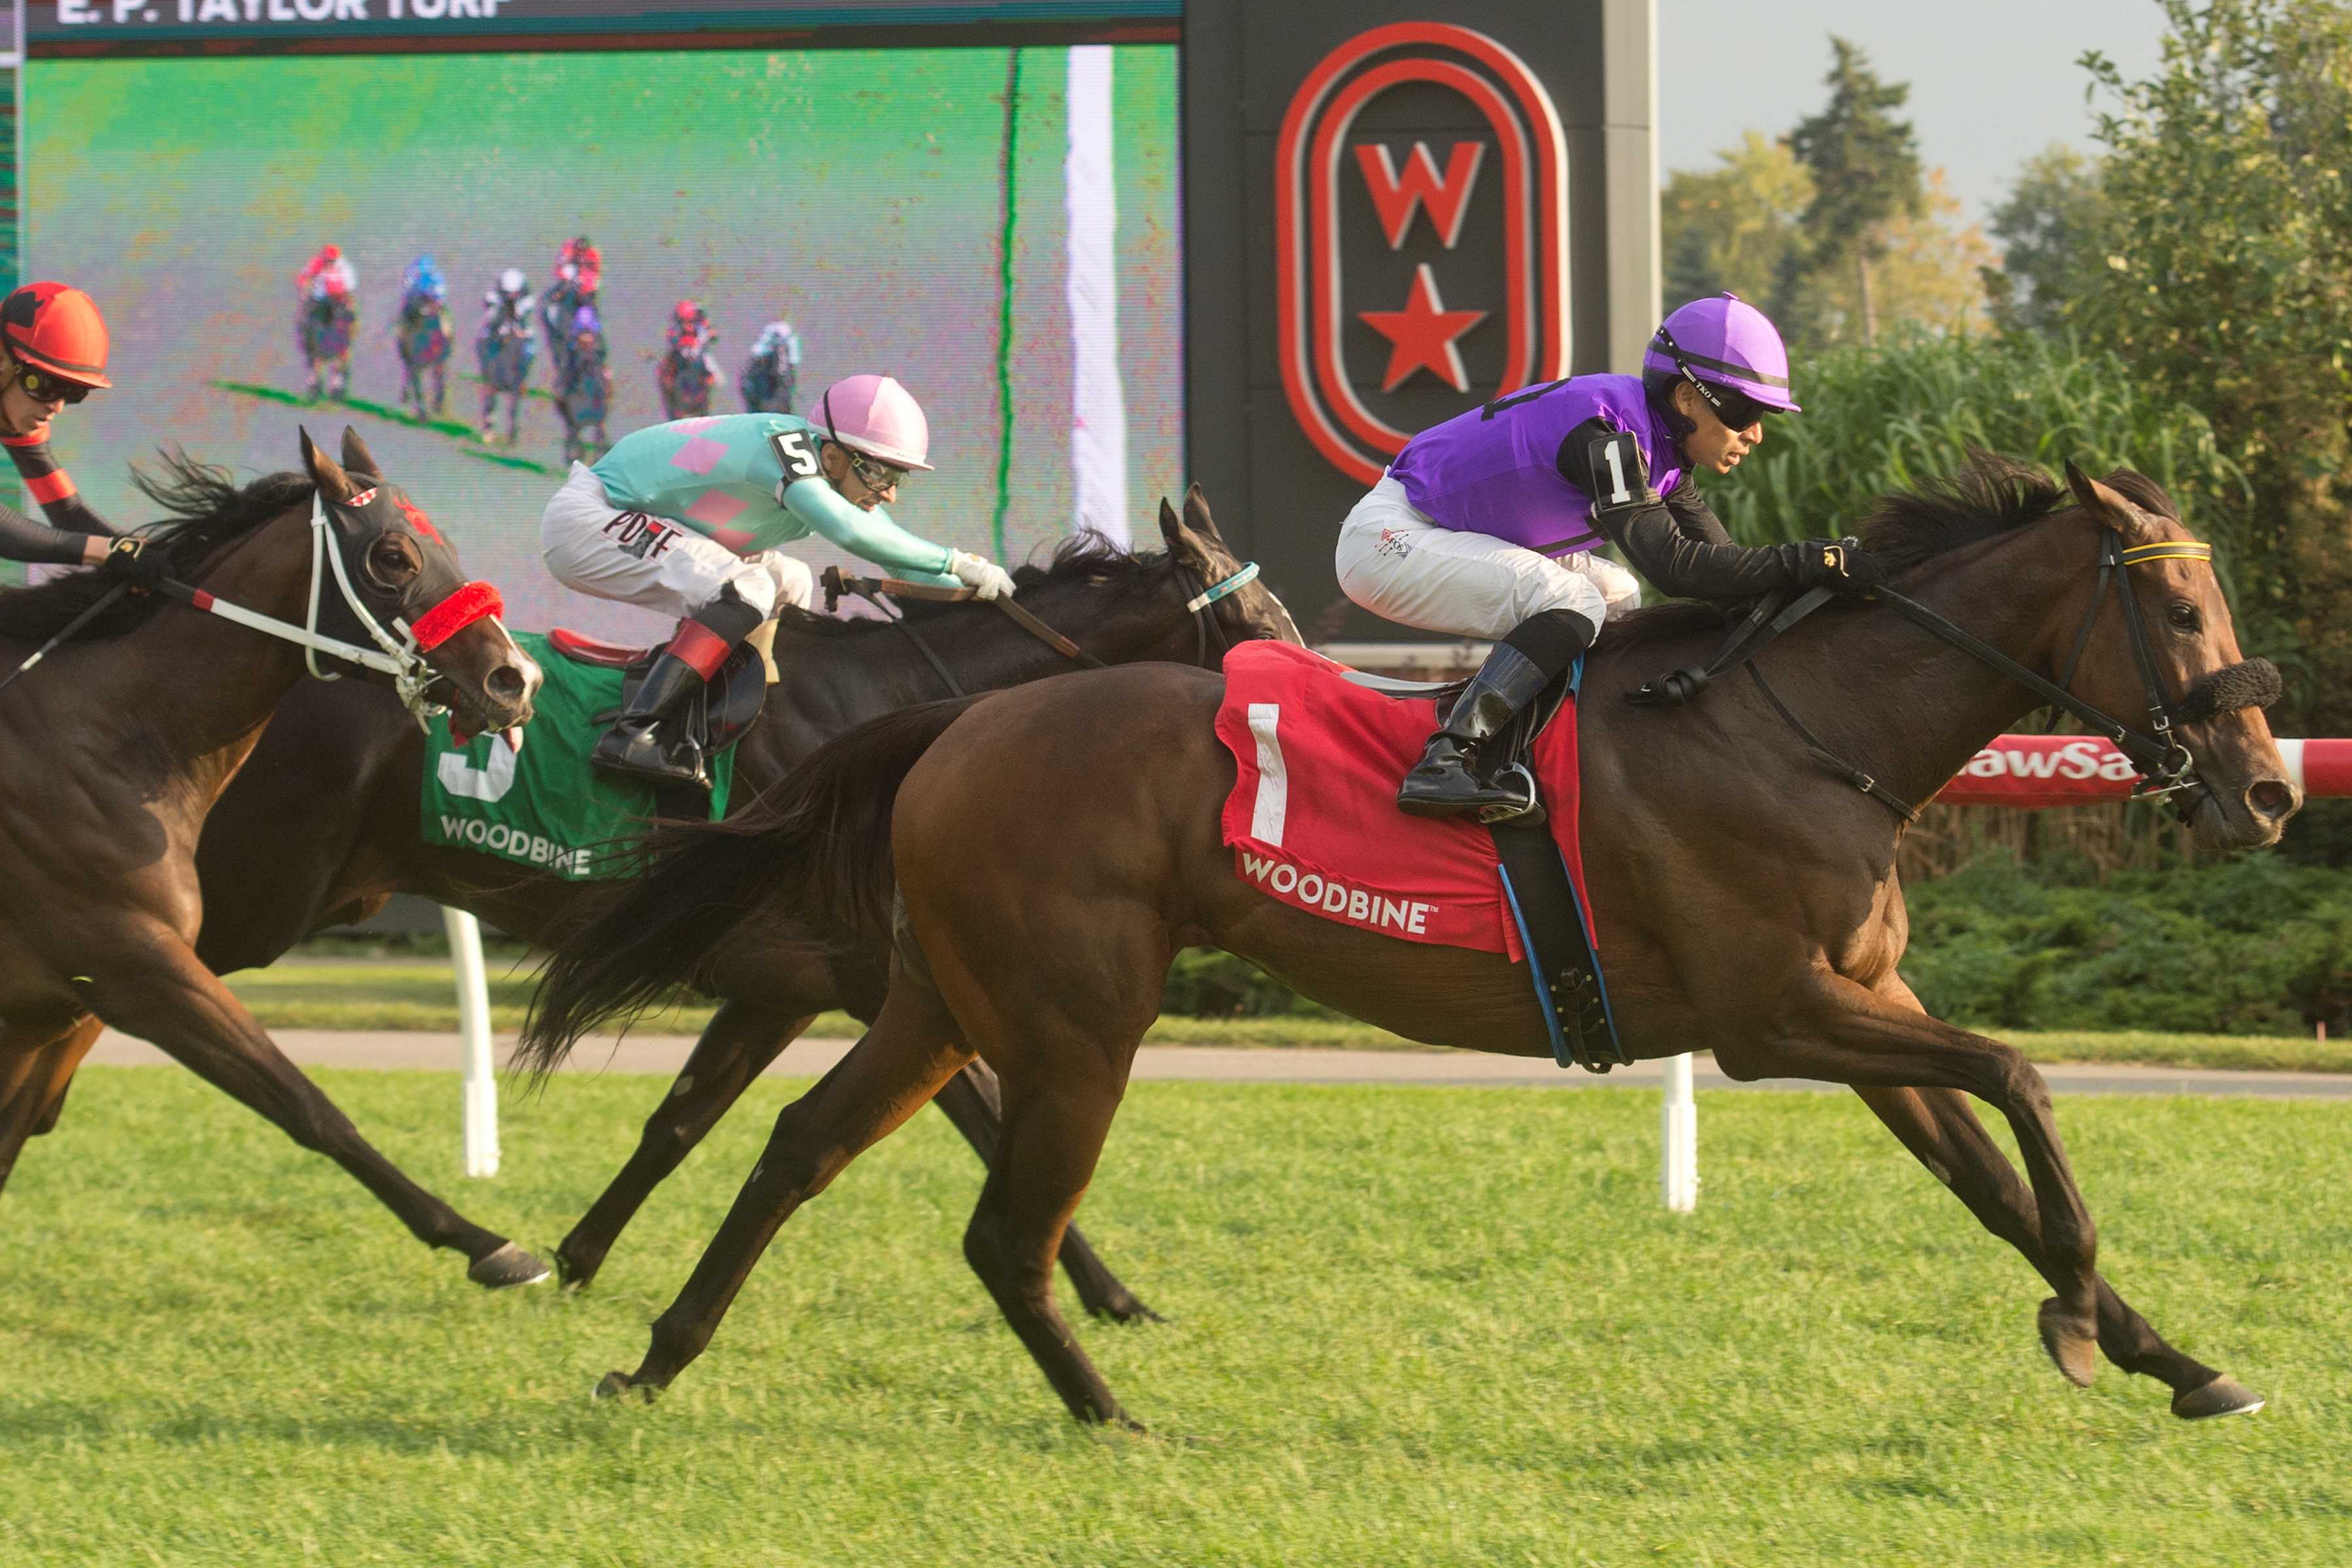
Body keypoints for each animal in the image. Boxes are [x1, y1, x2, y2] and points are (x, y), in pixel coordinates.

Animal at [0, 425, 547, 1288]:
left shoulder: (57, 1006)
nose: (516, 678)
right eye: (394, 556)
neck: (107, 733)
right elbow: (308, 1106)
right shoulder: (137, 966)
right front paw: (490, 1244)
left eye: (447, 545)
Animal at [197, 493, 1307, 1316]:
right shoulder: (884, 976)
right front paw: (1114, 1296)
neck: (887, 712)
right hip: (259, 895)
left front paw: (579, 1256)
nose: (1311, 692)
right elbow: (992, 1117)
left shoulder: (779, 986)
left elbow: (679, 1121)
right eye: (1256, 622)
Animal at [529, 461, 2295, 1429]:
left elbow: (1993, 1172)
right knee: (1003, 1229)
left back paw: (654, 1359)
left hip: (933, 994)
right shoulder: (1773, 1015)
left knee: (801, 1146)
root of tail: (957, 720)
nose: (2271, 788)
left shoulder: (1858, 1000)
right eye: (2180, 612)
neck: (1802, 730)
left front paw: (2174, 1355)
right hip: (1074, 1018)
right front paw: (2084, 1321)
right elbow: (2022, 1081)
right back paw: (1115, 1412)